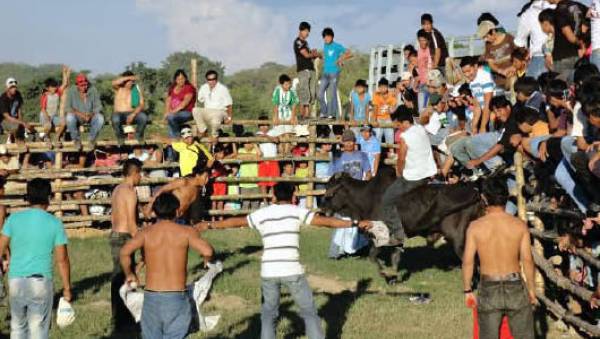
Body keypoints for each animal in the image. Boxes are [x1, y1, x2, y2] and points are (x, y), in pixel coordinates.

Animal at [318, 167, 482, 282]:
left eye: (330, 188)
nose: (322, 208)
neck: (366, 198)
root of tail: (475, 192)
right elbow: (395, 257)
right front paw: (393, 276)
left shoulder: (382, 236)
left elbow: (373, 256)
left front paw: (386, 274)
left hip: (457, 239)